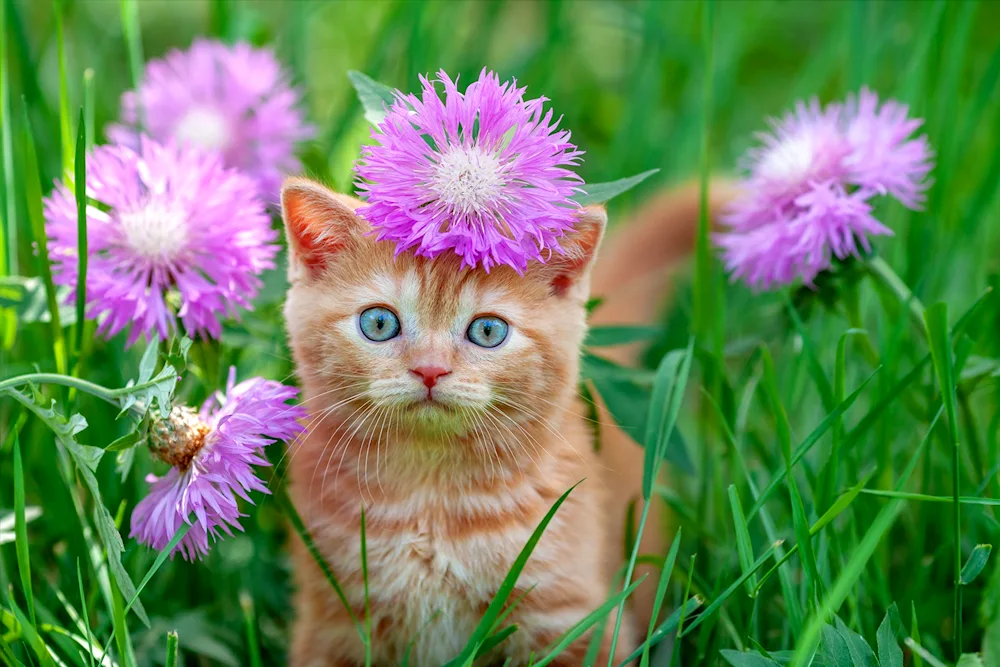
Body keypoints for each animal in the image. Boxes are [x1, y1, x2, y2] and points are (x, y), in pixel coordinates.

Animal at [284, 175, 736, 664]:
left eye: (487, 331)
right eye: (380, 323)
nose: (430, 369)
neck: (431, 496)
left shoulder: (572, 619)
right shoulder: (333, 622)